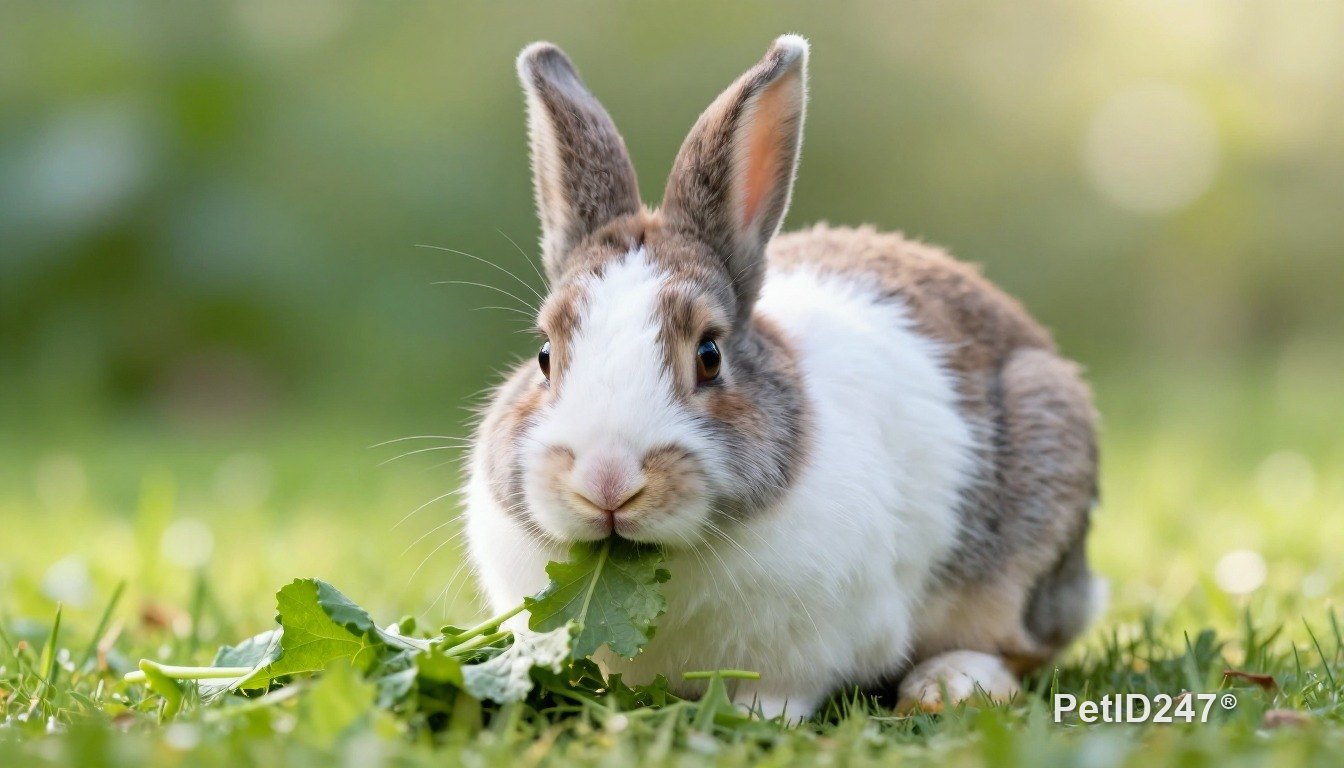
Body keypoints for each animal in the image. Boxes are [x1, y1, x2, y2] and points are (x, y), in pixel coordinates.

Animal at [463, 34, 1102, 719]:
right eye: (544, 356)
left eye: (709, 355)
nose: (606, 482)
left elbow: (779, 694)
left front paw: (747, 719)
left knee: (1021, 643)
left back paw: (947, 685)